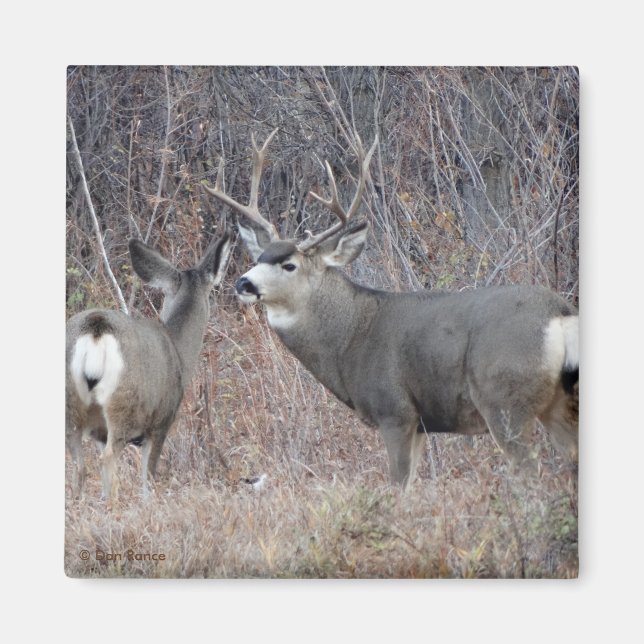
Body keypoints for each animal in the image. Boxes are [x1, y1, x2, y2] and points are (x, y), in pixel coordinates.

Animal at [66, 232, 232, 502]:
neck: (178, 351)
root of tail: (96, 328)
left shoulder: (100, 430)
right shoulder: (161, 421)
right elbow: (149, 479)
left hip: (71, 404)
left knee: (79, 467)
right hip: (123, 405)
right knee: (108, 459)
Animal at [204, 130, 578, 490]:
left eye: (289, 265)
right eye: (258, 258)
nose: (243, 283)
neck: (350, 337)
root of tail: (558, 313)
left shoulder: (395, 411)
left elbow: (398, 486)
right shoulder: (421, 423)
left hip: (504, 400)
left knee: (530, 473)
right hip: (558, 402)